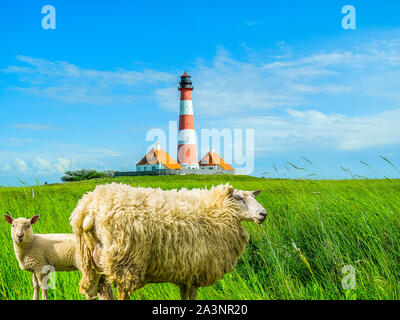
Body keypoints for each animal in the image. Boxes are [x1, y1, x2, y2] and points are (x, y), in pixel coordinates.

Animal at [70, 182, 268, 300]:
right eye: (239, 198)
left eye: (254, 197)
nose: (263, 214)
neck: (218, 210)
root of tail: (89, 210)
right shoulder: (197, 273)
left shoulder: (186, 275)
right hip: (125, 264)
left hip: (92, 264)